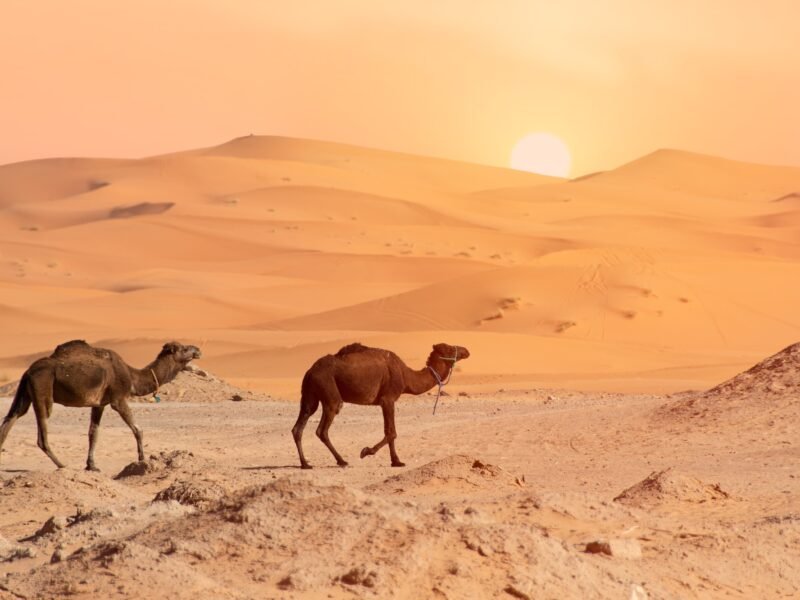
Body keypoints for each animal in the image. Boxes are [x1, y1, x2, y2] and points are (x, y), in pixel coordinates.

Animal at [0, 340, 201, 471]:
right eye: (184, 348)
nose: (198, 350)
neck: (132, 376)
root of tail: (27, 371)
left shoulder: (99, 404)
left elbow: (93, 433)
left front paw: (92, 465)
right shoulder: (118, 399)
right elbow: (138, 429)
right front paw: (142, 459)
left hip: (25, 394)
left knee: (11, 418)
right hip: (42, 390)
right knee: (41, 434)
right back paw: (62, 464)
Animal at [291, 342, 470, 469]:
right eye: (449, 348)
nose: (466, 350)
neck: (406, 376)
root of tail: (310, 371)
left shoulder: (386, 402)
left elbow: (390, 432)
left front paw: (396, 461)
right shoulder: (388, 399)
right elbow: (391, 432)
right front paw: (366, 452)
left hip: (310, 396)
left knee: (299, 426)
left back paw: (305, 464)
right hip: (329, 390)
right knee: (322, 429)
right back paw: (341, 461)